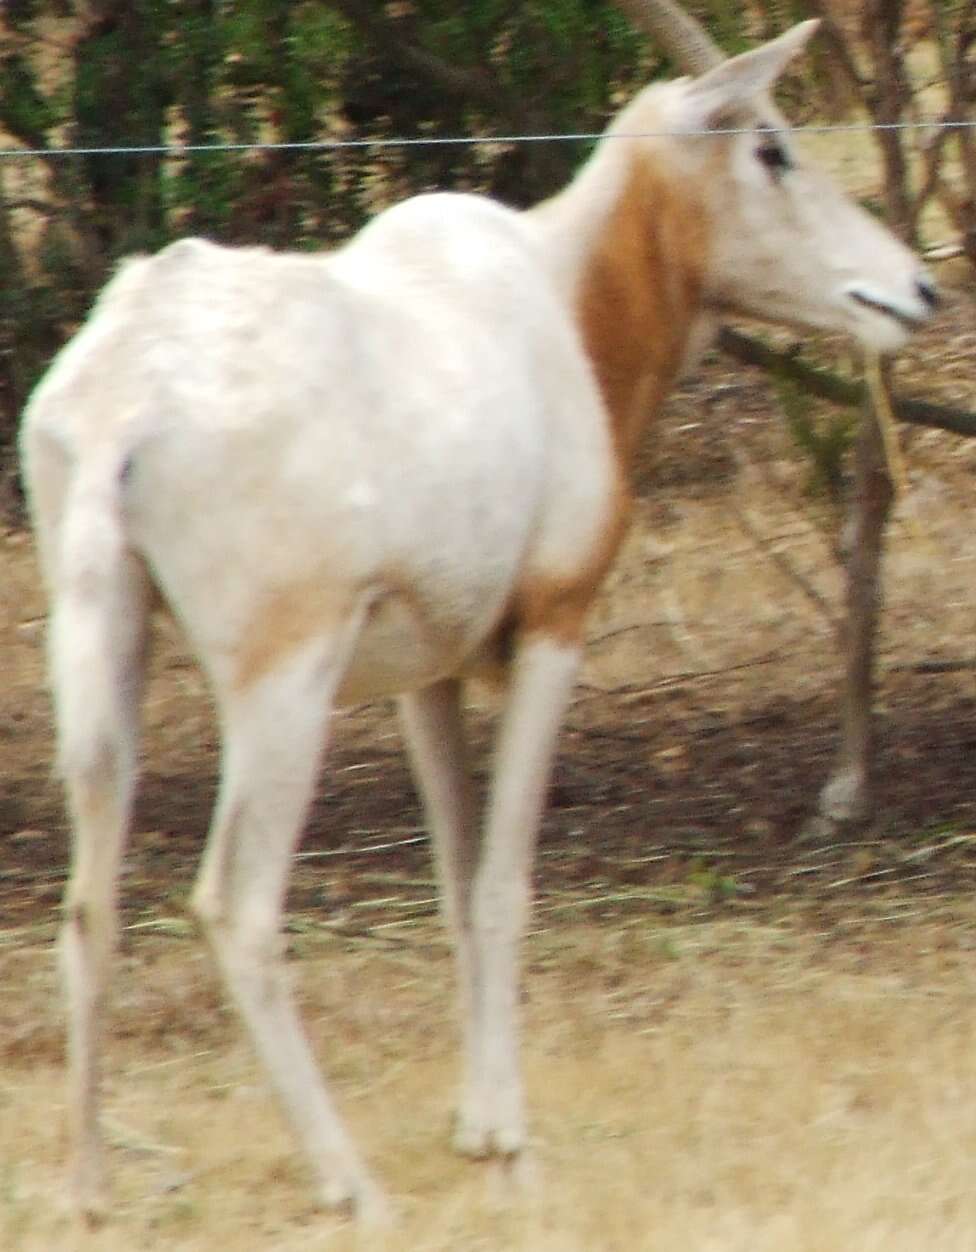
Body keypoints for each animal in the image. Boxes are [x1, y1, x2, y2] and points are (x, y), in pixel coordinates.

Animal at [20, 12, 935, 1221]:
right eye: (771, 145)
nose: (915, 291)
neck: (559, 292)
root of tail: (127, 396)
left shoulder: (428, 674)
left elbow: (453, 885)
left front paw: (475, 1129)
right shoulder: (552, 626)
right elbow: (501, 883)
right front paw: (510, 1144)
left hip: (104, 645)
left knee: (86, 905)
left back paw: (88, 1189)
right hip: (284, 678)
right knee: (236, 903)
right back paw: (351, 1186)